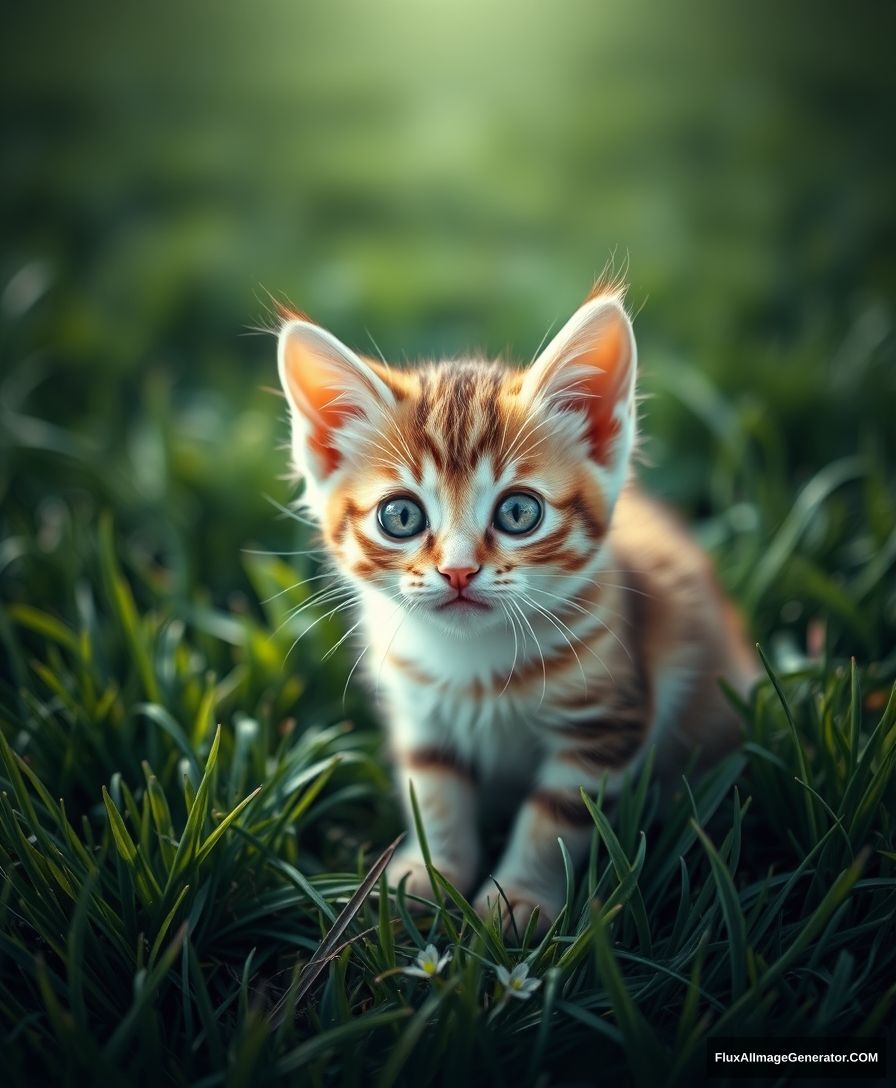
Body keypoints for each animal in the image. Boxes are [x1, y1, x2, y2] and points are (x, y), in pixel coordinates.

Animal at [272, 285, 756, 931]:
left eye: (519, 512)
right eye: (400, 516)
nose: (457, 571)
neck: (473, 663)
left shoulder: (606, 720)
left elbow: (558, 817)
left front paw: (517, 900)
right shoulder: (420, 713)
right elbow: (435, 794)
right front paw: (428, 875)